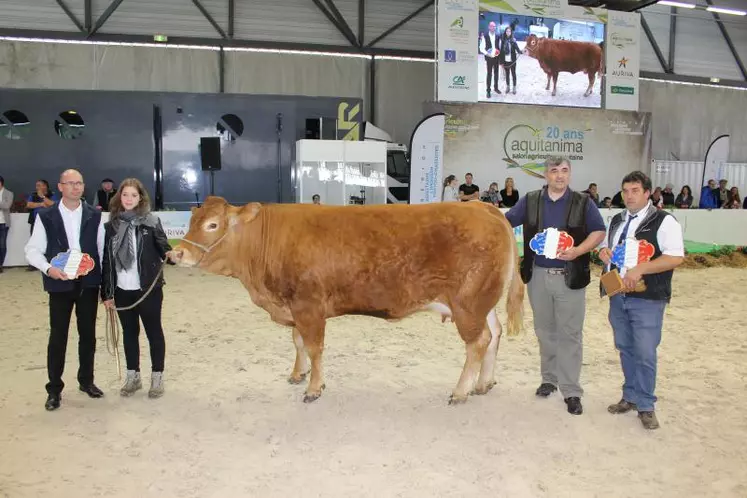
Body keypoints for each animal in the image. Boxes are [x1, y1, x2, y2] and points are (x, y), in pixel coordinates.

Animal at [169, 197, 524, 404]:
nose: (177, 253)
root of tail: (482, 205)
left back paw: (461, 391)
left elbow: (314, 347)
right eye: (191, 221)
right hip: (482, 303)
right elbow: (298, 342)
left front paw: (314, 387)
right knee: (494, 335)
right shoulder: (295, 307)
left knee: (477, 342)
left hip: (468, 304)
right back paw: (484, 383)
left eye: (212, 224)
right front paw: (297, 374)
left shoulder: (308, 306)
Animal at [480, 9, 608, 109]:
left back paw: (586, 93)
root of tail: (597, 46)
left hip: (591, 70)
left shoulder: (555, 69)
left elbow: (554, 80)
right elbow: (548, 78)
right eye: (526, 41)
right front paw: (547, 87)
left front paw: (553, 92)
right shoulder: (548, 69)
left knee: (591, 81)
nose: (524, 50)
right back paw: (590, 92)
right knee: (593, 81)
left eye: (533, 42)